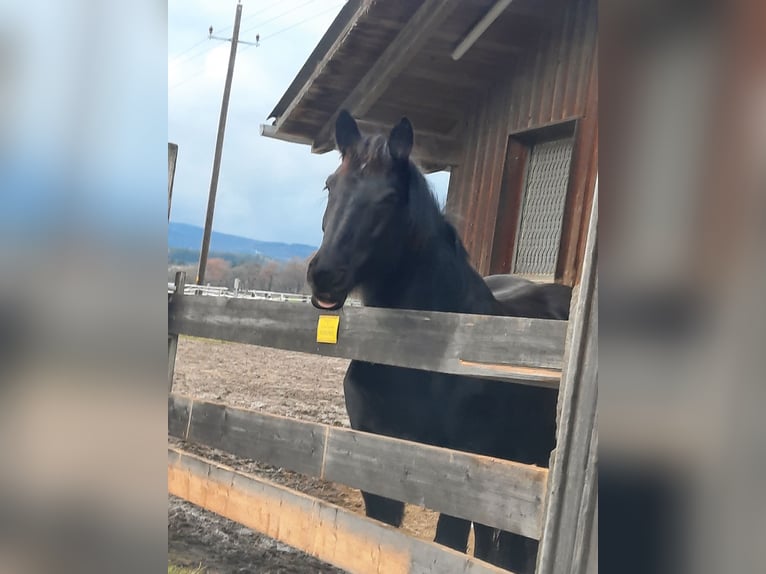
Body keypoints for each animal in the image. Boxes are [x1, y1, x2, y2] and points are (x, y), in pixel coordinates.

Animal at [308, 110, 568, 572]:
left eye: (390, 198)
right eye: (330, 185)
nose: (325, 275)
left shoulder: (457, 473)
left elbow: (446, 546)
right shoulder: (374, 462)